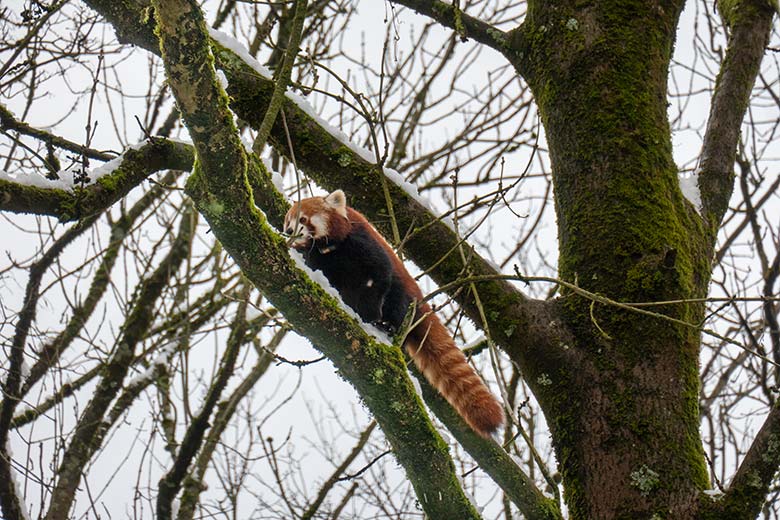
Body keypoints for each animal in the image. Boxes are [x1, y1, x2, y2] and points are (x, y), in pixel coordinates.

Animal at [284, 189, 502, 436]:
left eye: (302, 219)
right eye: (288, 220)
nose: (289, 231)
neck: (329, 248)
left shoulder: (362, 246)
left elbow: (378, 278)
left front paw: (369, 317)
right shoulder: (322, 259)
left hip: (404, 297)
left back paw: (388, 325)